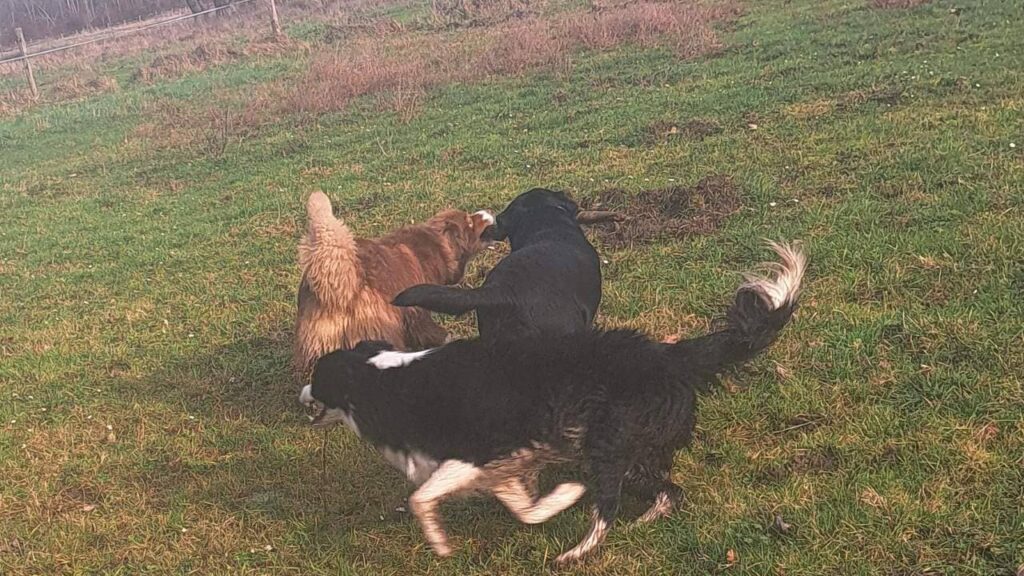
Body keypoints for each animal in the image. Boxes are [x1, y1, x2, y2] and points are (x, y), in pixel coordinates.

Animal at [303, 239, 806, 561]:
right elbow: (526, 511)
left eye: (316, 377)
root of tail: (668, 352)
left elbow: (421, 499)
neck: (382, 377)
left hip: (607, 441)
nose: (301, 394)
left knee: (611, 502)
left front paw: (441, 544)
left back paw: (576, 552)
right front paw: (559, 498)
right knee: (667, 490)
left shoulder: (474, 453)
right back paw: (643, 520)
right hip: (632, 446)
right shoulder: (503, 465)